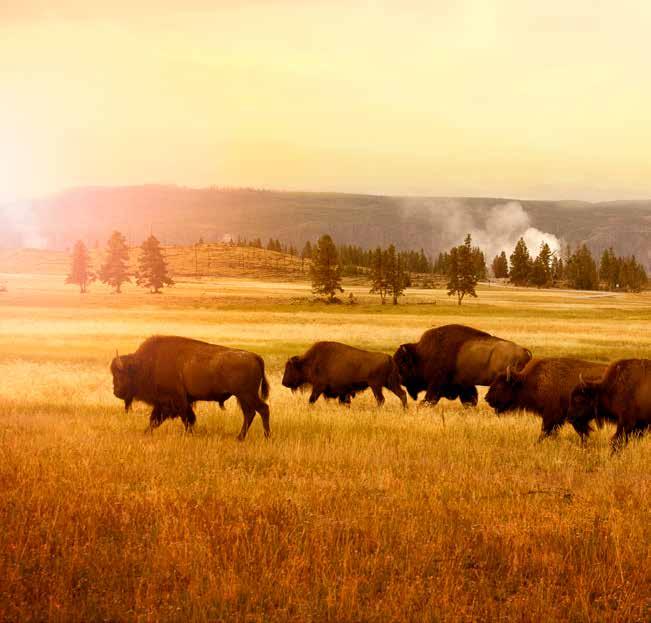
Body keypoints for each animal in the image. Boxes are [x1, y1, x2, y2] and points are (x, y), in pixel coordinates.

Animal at [111, 334, 268, 442]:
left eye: (120, 374)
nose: (116, 392)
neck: (146, 364)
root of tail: (255, 356)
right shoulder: (167, 403)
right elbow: (155, 420)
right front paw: (145, 433)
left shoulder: (175, 401)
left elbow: (186, 419)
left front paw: (188, 435)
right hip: (243, 397)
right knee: (249, 414)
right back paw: (240, 438)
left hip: (247, 395)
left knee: (262, 409)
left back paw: (266, 437)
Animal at [394, 324, 532, 408]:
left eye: (402, 363)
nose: (400, 379)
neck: (421, 355)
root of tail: (525, 352)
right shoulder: (464, 384)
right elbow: (469, 400)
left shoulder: (436, 383)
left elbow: (430, 398)